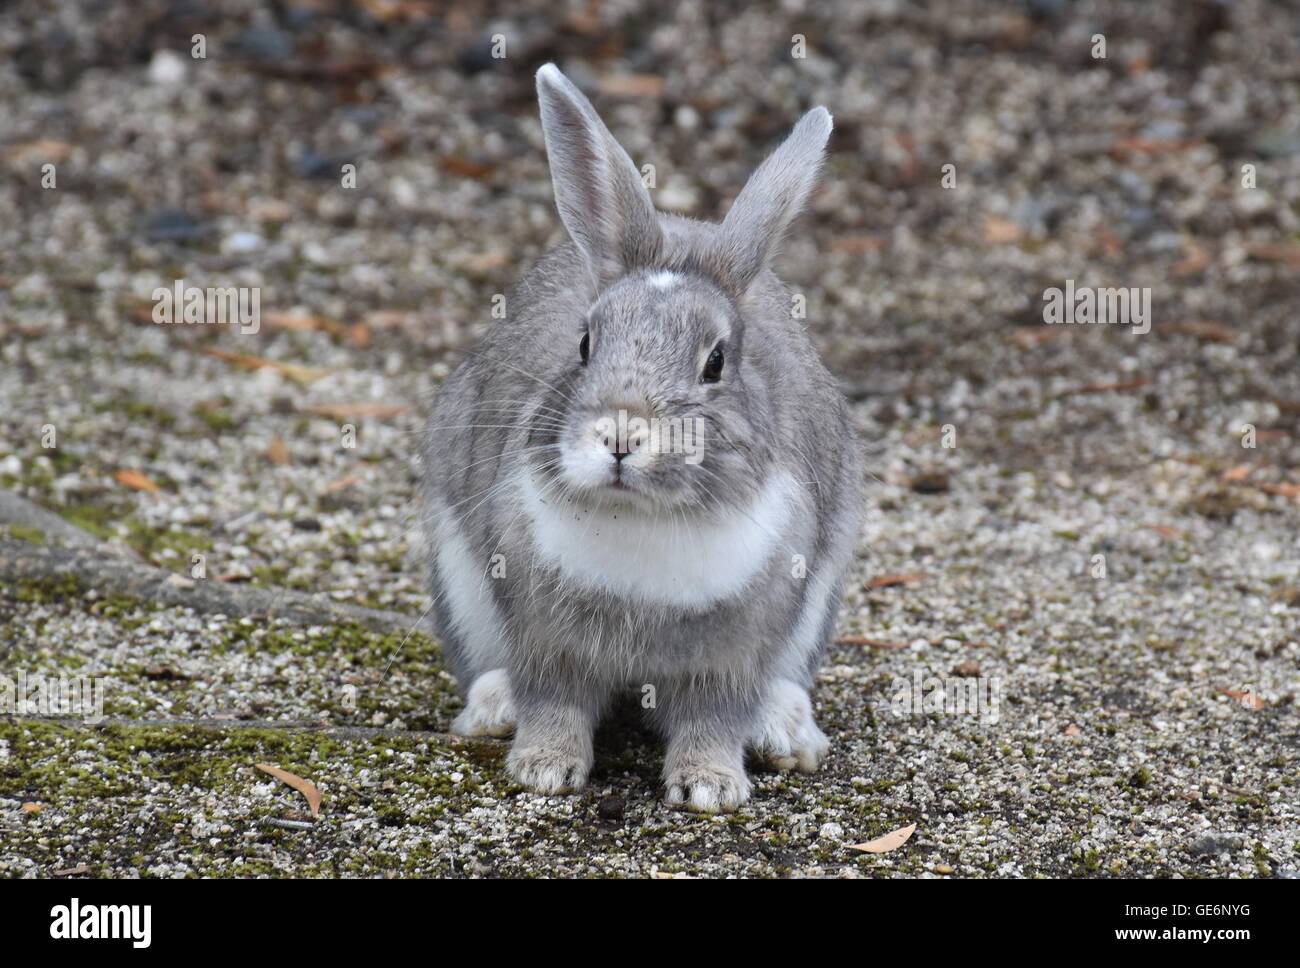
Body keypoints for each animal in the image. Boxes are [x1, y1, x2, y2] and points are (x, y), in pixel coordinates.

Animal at [426, 64, 863, 810]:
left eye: (715, 362)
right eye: (584, 343)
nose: (621, 436)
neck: (644, 516)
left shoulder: (733, 655)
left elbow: (713, 719)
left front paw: (711, 789)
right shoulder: (546, 641)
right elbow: (555, 703)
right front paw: (544, 771)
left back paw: (785, 733)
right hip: (459, 579)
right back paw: (492, 709)